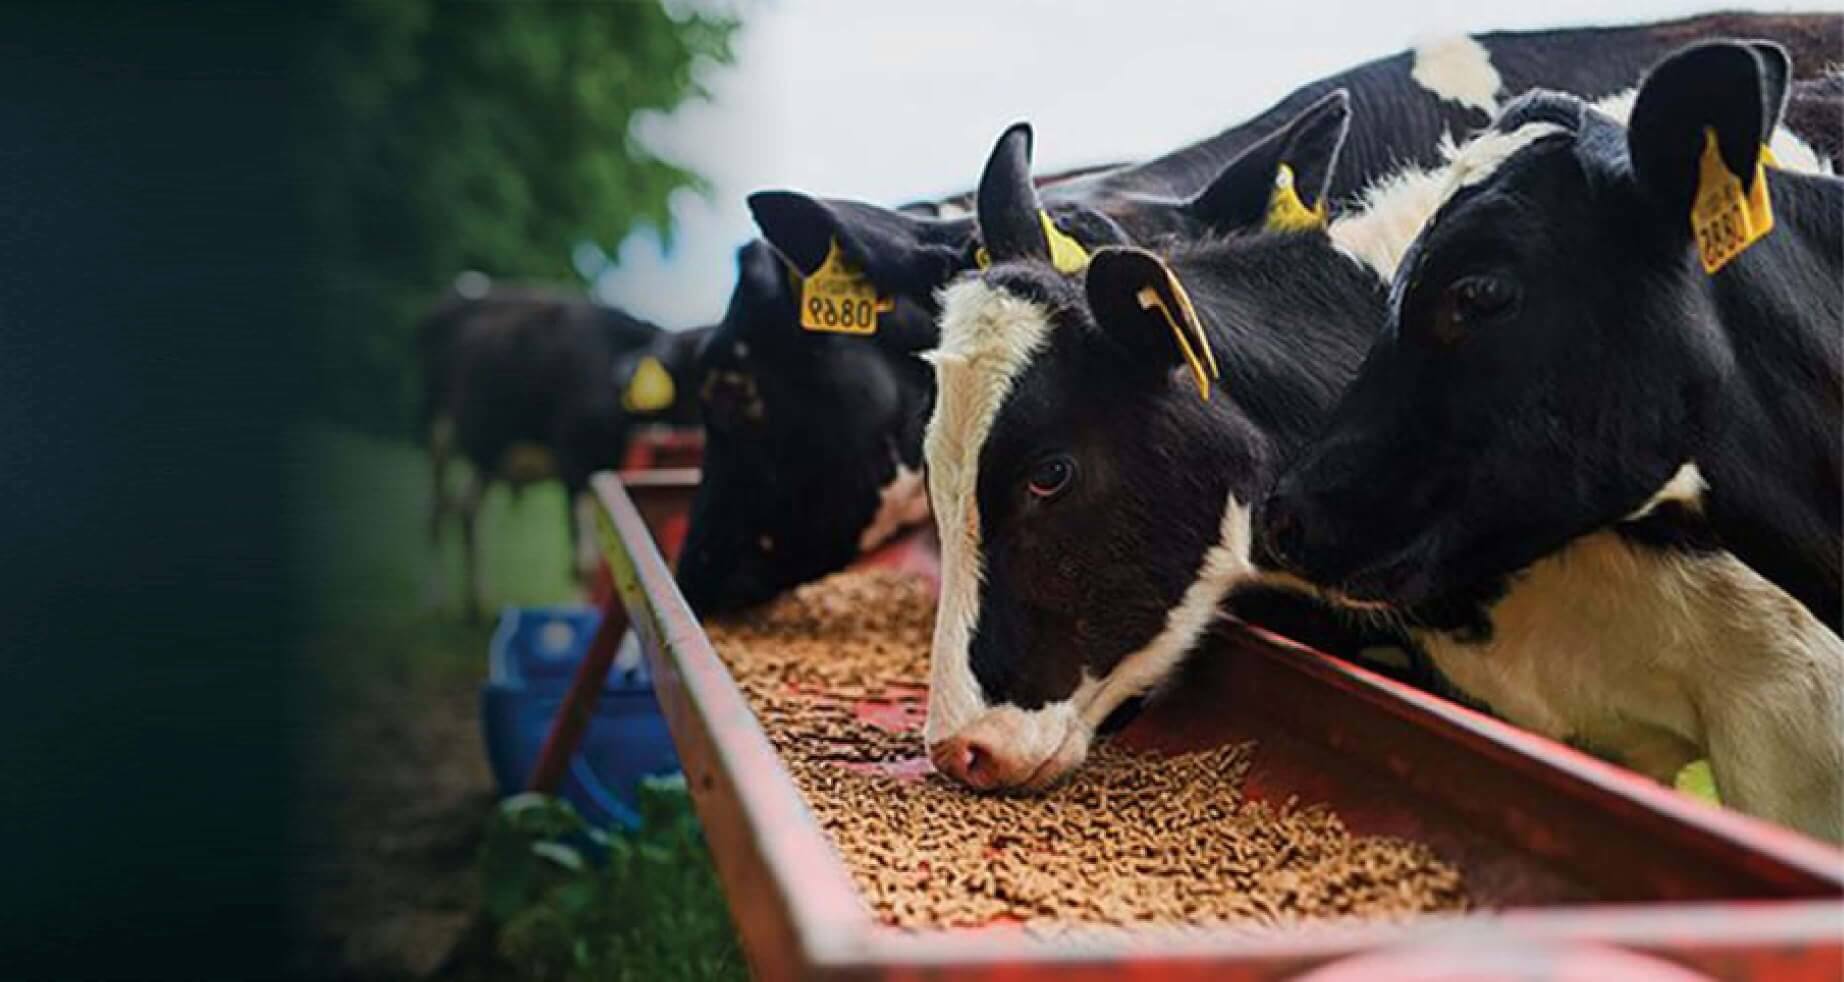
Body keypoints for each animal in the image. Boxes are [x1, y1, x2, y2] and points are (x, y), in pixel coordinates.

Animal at [420, 282, 696, 620]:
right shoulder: (574, 463)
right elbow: (584, 564)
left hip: (488, 448)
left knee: (467, 510)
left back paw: (476, 603)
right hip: (437, 432)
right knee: (436, 513)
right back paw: (435, 600)